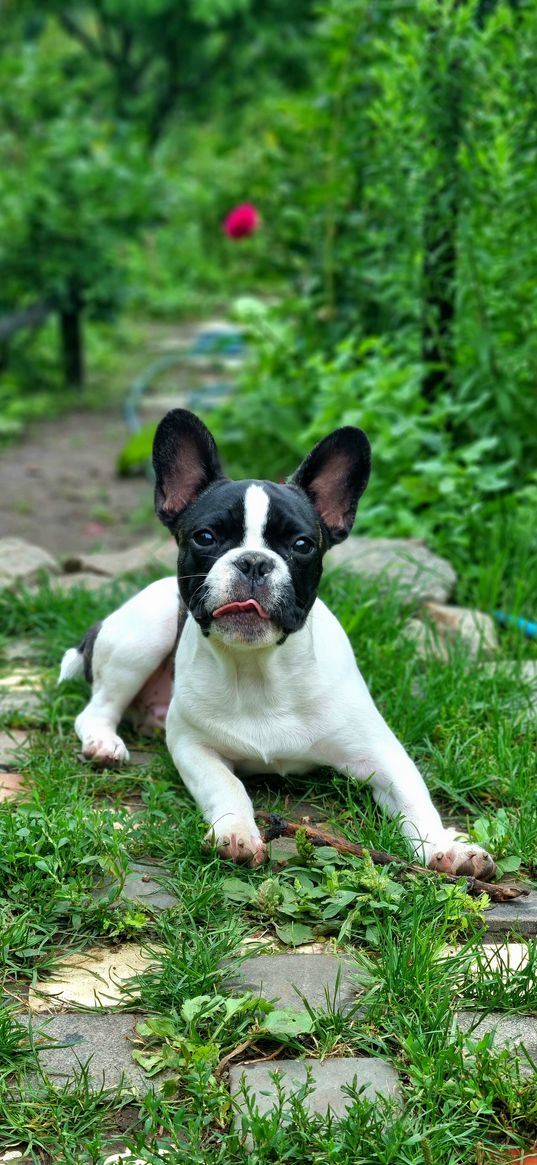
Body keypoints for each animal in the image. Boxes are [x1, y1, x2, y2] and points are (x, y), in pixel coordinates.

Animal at [58, 410, 493, 876]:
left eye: (302, 545)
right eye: (205, 537)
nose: (254, 561)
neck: (258, 669)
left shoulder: (381, 752)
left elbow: (416, 799)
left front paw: (445, 846)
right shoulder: (192, 746)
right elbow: (226, 785)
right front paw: (236, 832)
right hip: (144, 633)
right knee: (97, 709)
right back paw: (103, 743)